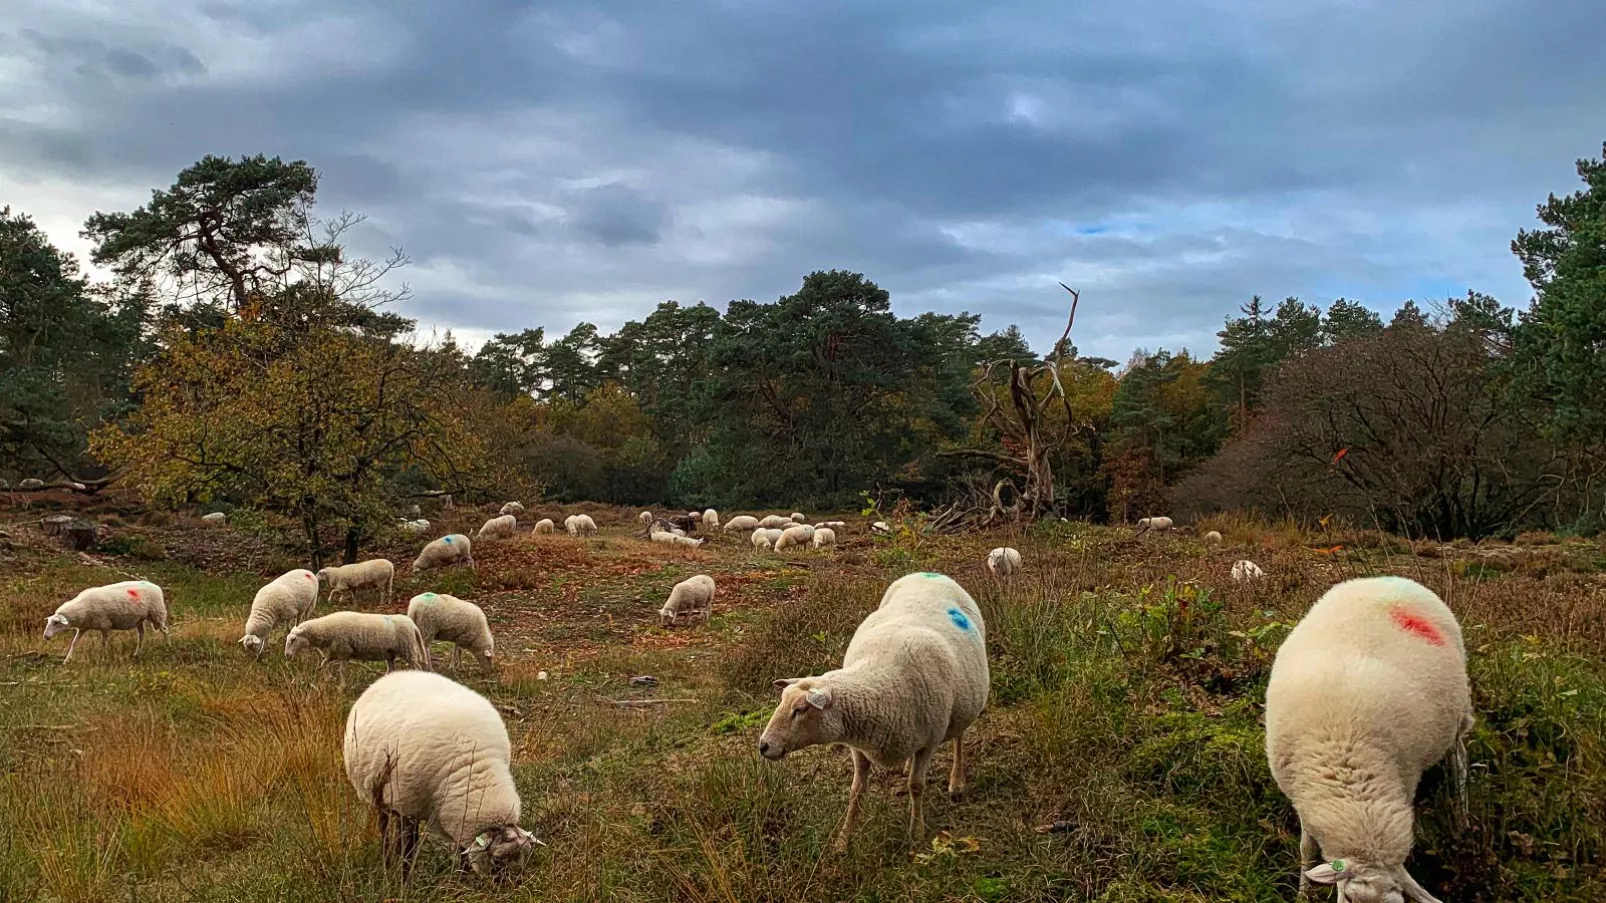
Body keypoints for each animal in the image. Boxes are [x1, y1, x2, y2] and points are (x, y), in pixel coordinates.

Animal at [285, 604, 430, 681]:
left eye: (293, 639)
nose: (286, 655)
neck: (324, 630)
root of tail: (413, 625)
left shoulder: (344, 652)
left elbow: (342, 671)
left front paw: (341, 688)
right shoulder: (333, 653)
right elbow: (323, 664)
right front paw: (327, 677)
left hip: (408, 650)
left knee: (417, 667)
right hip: (390, 653)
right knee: (391, 670)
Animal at [342, 668, 542, 874]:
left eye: (524, 857)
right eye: (497, 860)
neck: (474, 768)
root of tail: (394, 675)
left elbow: (463, 852)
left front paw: (462, 877)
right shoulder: (408, 807)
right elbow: (409, 851)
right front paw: (405, 878)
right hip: (380, 792)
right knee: (384, 826)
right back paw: (387, 861)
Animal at [754, 572, 989, 848]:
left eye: (800, 709)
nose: (764, 746)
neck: (877, 679)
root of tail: (929, 573)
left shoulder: (929, 741)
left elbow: (916, 786)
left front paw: (916, 833)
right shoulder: (858, 746)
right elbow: (856, 791)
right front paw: (843, 841)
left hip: (963, 700)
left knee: (960, 736)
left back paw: (957, 781)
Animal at [1259, 575, 1471, 899]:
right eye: (1348, 897)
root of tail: (1388, 578)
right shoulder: (1302, 795)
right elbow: (1307, 850)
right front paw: (1302, 892)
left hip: (1458, 716)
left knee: (1459, 760)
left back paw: (1462, 812)